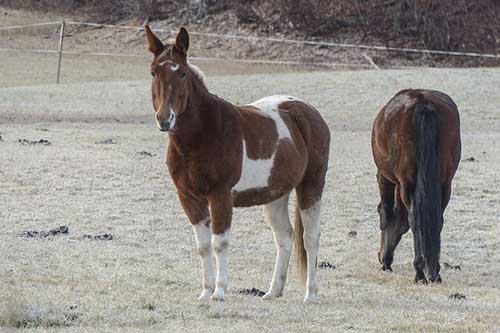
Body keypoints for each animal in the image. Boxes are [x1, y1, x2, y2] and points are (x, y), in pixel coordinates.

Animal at [146, 26, 332, 300]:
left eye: (181, 72)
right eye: (153, 72)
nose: (164, 118)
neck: (202, 136)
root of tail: (308, 111)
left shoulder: (220, 195)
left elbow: (219, 243)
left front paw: (219, 292)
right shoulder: (189, 198)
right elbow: (203, 246)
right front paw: (205, 293)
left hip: (311, 185)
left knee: (310, 237)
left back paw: (310, 294)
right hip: (275, 195)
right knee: (285, 237)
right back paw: (273, 292)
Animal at [372, 88, 460, 282]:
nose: (382, 257)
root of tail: (423, 103)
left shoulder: (385, 177)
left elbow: (387, 212)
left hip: (406, 181)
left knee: (414, 217)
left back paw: (420, 271)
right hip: (444, 182)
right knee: (436, 218)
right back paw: (434, 270)